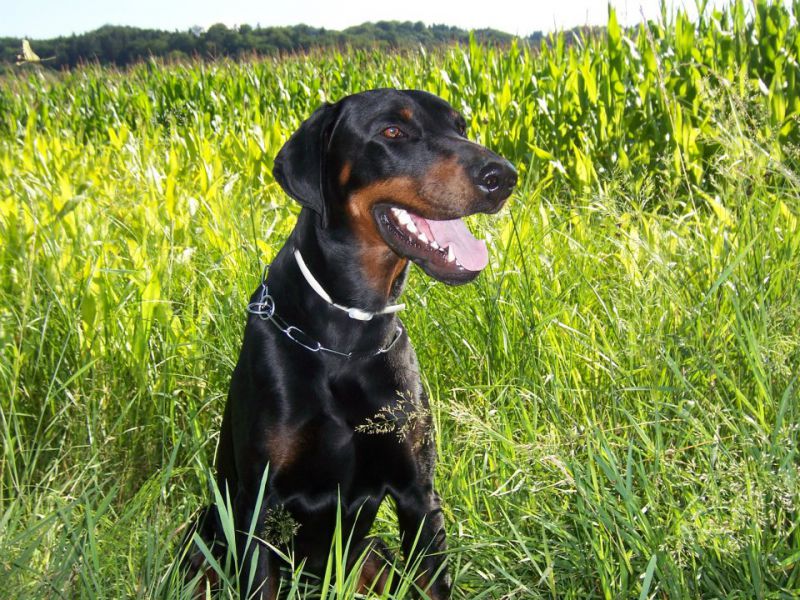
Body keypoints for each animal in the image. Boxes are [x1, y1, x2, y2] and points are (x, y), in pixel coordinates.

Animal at [186, 88, 516, 599]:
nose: (503, 176)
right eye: (392, 131)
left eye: (461, 127)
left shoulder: (419, 496)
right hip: (203, 535)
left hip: (370, 555)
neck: (346, 337)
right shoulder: (257, 506)